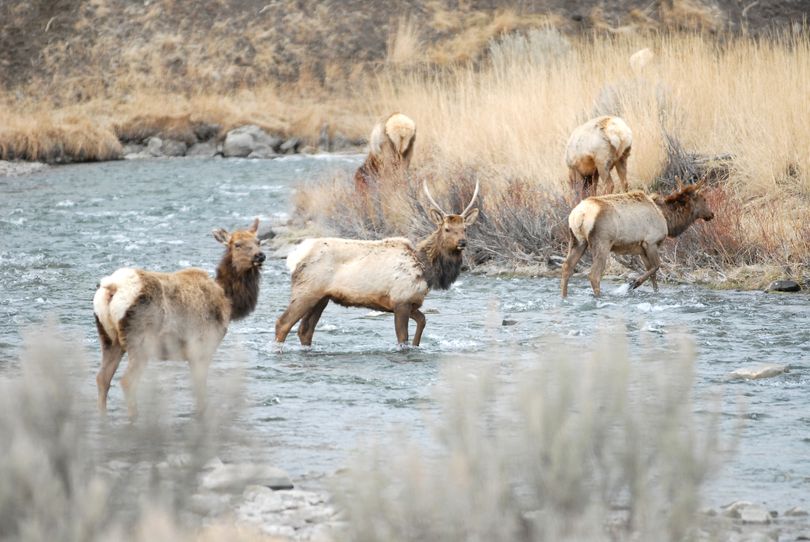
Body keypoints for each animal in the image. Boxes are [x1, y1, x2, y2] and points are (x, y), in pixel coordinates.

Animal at [93, 219, 266, 418]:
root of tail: (112, 287)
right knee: (127, 382)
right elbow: (200, 391)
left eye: (258, 241)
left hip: (109, 339)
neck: (229, 302)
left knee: (102, 378)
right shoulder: (203, 346)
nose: (260, 256)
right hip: (140, 341)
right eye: (237, 244)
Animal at [278, 181, 480, 350]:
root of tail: (294, 257)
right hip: (306, 291)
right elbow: (402, 338)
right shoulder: (400, 300)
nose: (462, 242)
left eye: (465, 228)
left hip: (321, 297)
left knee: (305, 330)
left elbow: (423, 321)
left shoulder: (410, 302)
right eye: (447, 229)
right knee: (283, 323)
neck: (425, 270)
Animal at [560, 180, 712, 300]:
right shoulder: (650, 242)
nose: (712, 214)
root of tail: (580, 215)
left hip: (577, 241)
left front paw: (655, 292)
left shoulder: (641, 249)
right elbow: (657, 266)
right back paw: (599, 297)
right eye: (704, 199)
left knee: (567, 267)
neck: (668, 219)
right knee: (594, 275)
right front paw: (633, 284)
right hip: (602, 242)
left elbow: (652, 273)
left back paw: (564, 297)